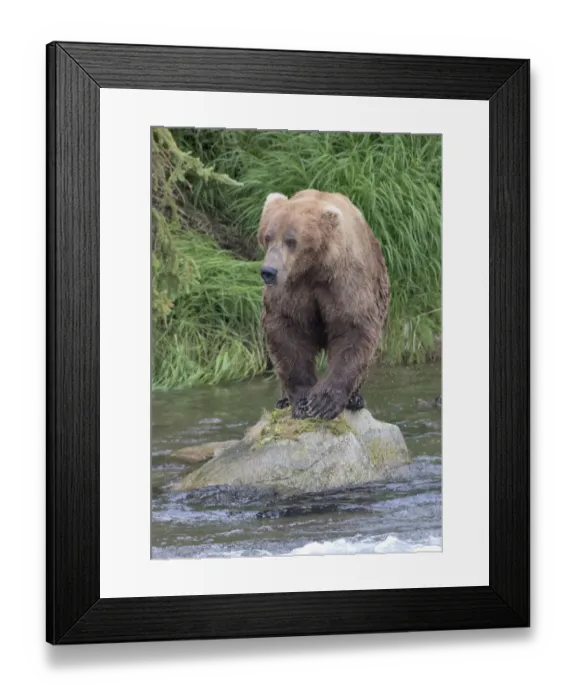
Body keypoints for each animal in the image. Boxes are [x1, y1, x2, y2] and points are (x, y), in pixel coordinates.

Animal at [258, 189, 390, 420]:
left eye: (291, 240)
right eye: (267, 236)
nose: (269, 271)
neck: (313, 269)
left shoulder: (344, 282)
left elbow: (353, 329)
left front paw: (322, 403)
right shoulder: (291, 290)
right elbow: (286, 333)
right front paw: (302, 402)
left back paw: (355, 399)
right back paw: (282, 400)